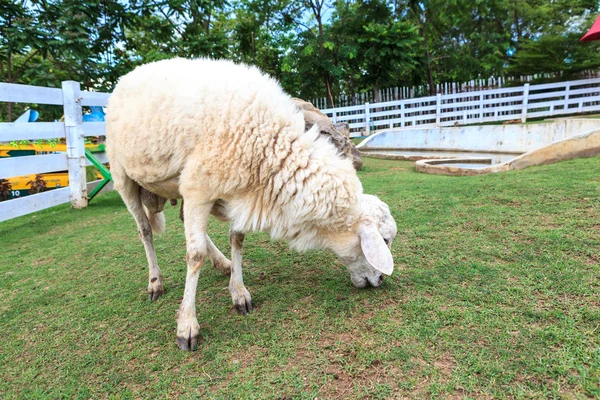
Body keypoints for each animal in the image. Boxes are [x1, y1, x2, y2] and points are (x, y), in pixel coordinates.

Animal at [105, 57, 396, 352]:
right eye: (384, 241)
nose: (380, 280)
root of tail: (132, 73)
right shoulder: (199, 188)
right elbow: (195, 255)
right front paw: (187, 325)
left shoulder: (237, 193)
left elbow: (237, 239)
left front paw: (239, 292)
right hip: (123, 175)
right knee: (145, 230)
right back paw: (155, 282)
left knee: (183, 220)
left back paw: (221, 263)